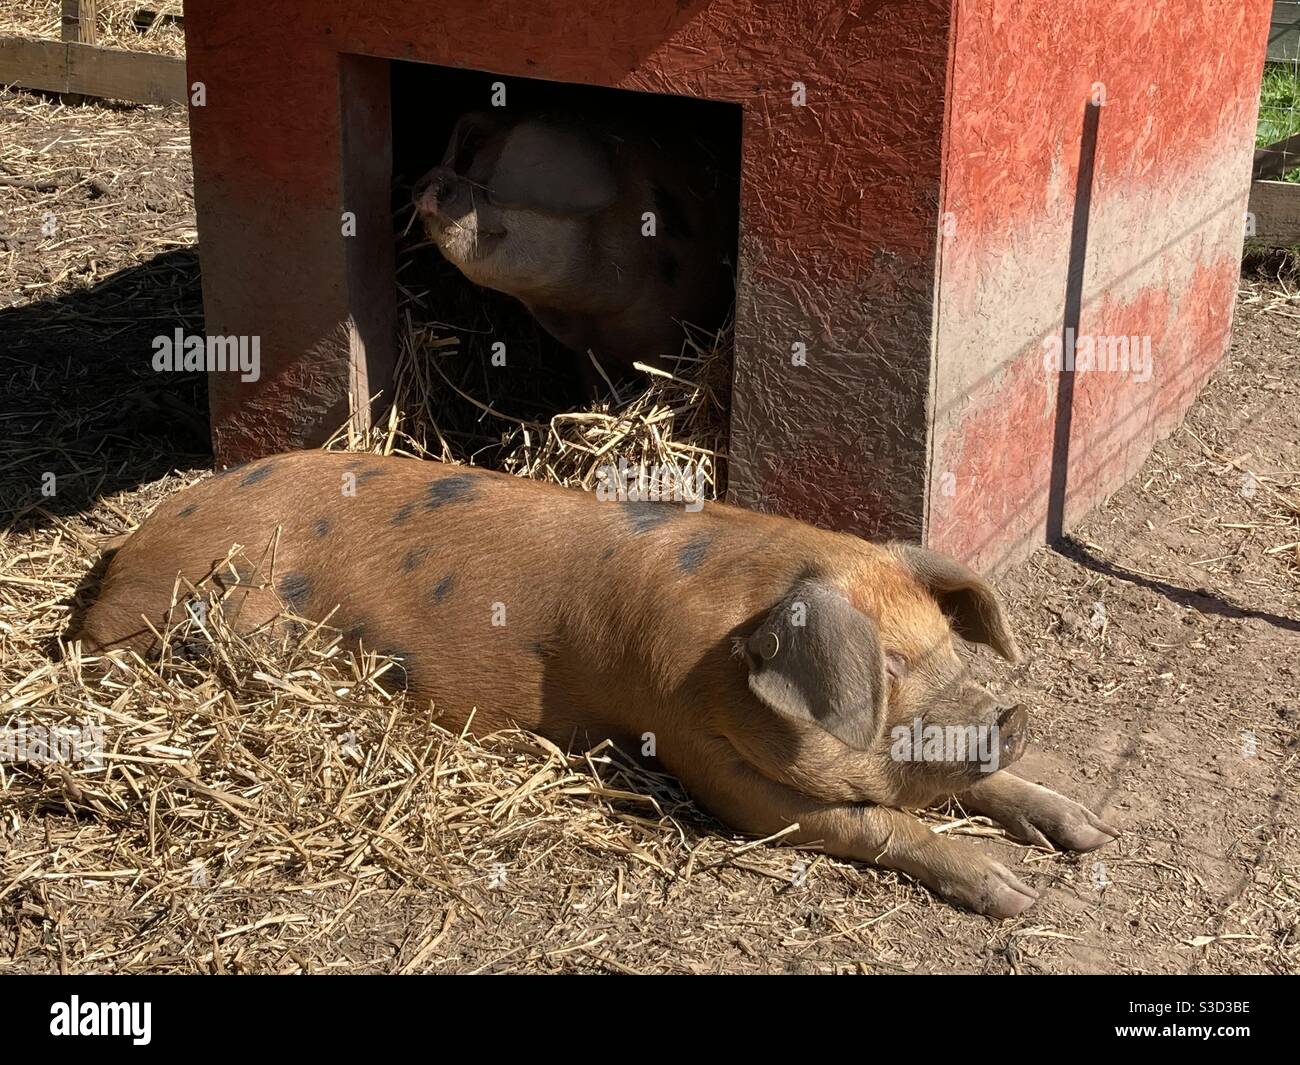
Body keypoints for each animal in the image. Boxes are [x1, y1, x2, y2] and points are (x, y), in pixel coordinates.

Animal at [384, 67, 743, 496]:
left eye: (491, 186)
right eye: (476, 165)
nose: (432, 181)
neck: (588, 313)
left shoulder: (668, 337)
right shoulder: (584, 352)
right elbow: (594, 386)